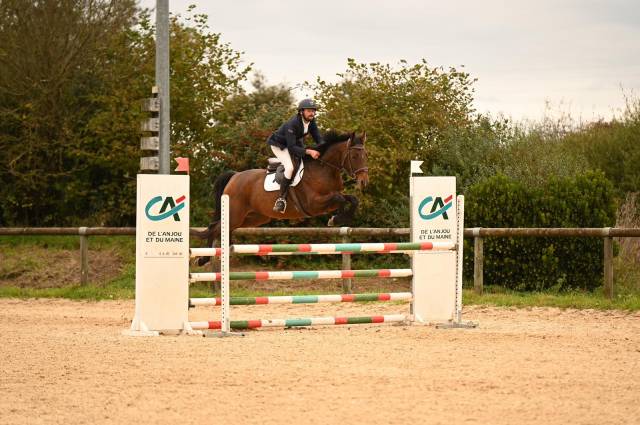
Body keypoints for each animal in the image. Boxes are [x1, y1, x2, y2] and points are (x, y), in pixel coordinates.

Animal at [193, 131, 369, 266]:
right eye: (354, 156)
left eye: (365, 155)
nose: (364, 181)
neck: (324, 169)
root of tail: (235, 176)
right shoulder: (313, 204)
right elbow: (339, 198)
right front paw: (336, 218)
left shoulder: (329, 199)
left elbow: (352, 199)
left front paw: (339, 218)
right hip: (235, 214)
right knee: (215, 228)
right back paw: (203, 259)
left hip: (253, 218)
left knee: (221, 228)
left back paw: (217, 254)